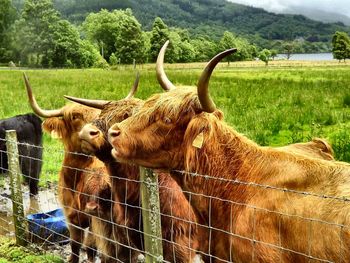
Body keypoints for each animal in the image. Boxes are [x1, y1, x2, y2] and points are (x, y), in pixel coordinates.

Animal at [23, 75, 117, 263]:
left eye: (99, 115)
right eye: (74, 116)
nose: (93, 133)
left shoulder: (94, 220)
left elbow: (90, 247)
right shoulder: (71, 216)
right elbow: (76, 247)